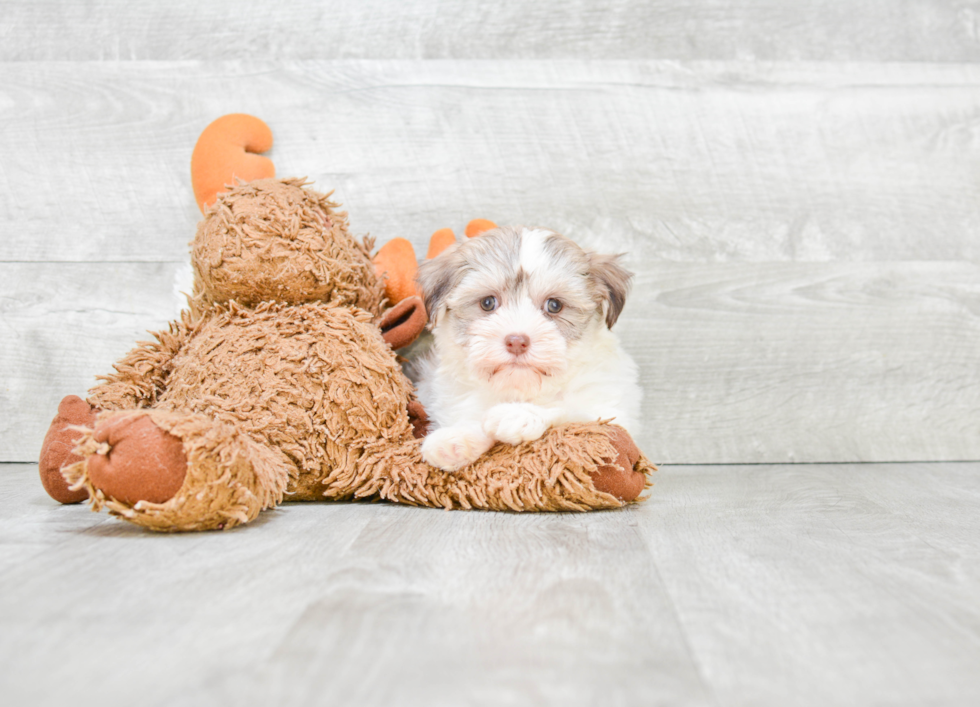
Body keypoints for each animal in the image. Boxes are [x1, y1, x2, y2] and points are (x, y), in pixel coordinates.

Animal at [416, 225, 644, 470]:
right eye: (488, 303)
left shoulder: (610, 415)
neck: (521, 389)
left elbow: (569, 411)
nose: (516, 341)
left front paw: (518, 415)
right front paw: (455, 439)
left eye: (554, 305)